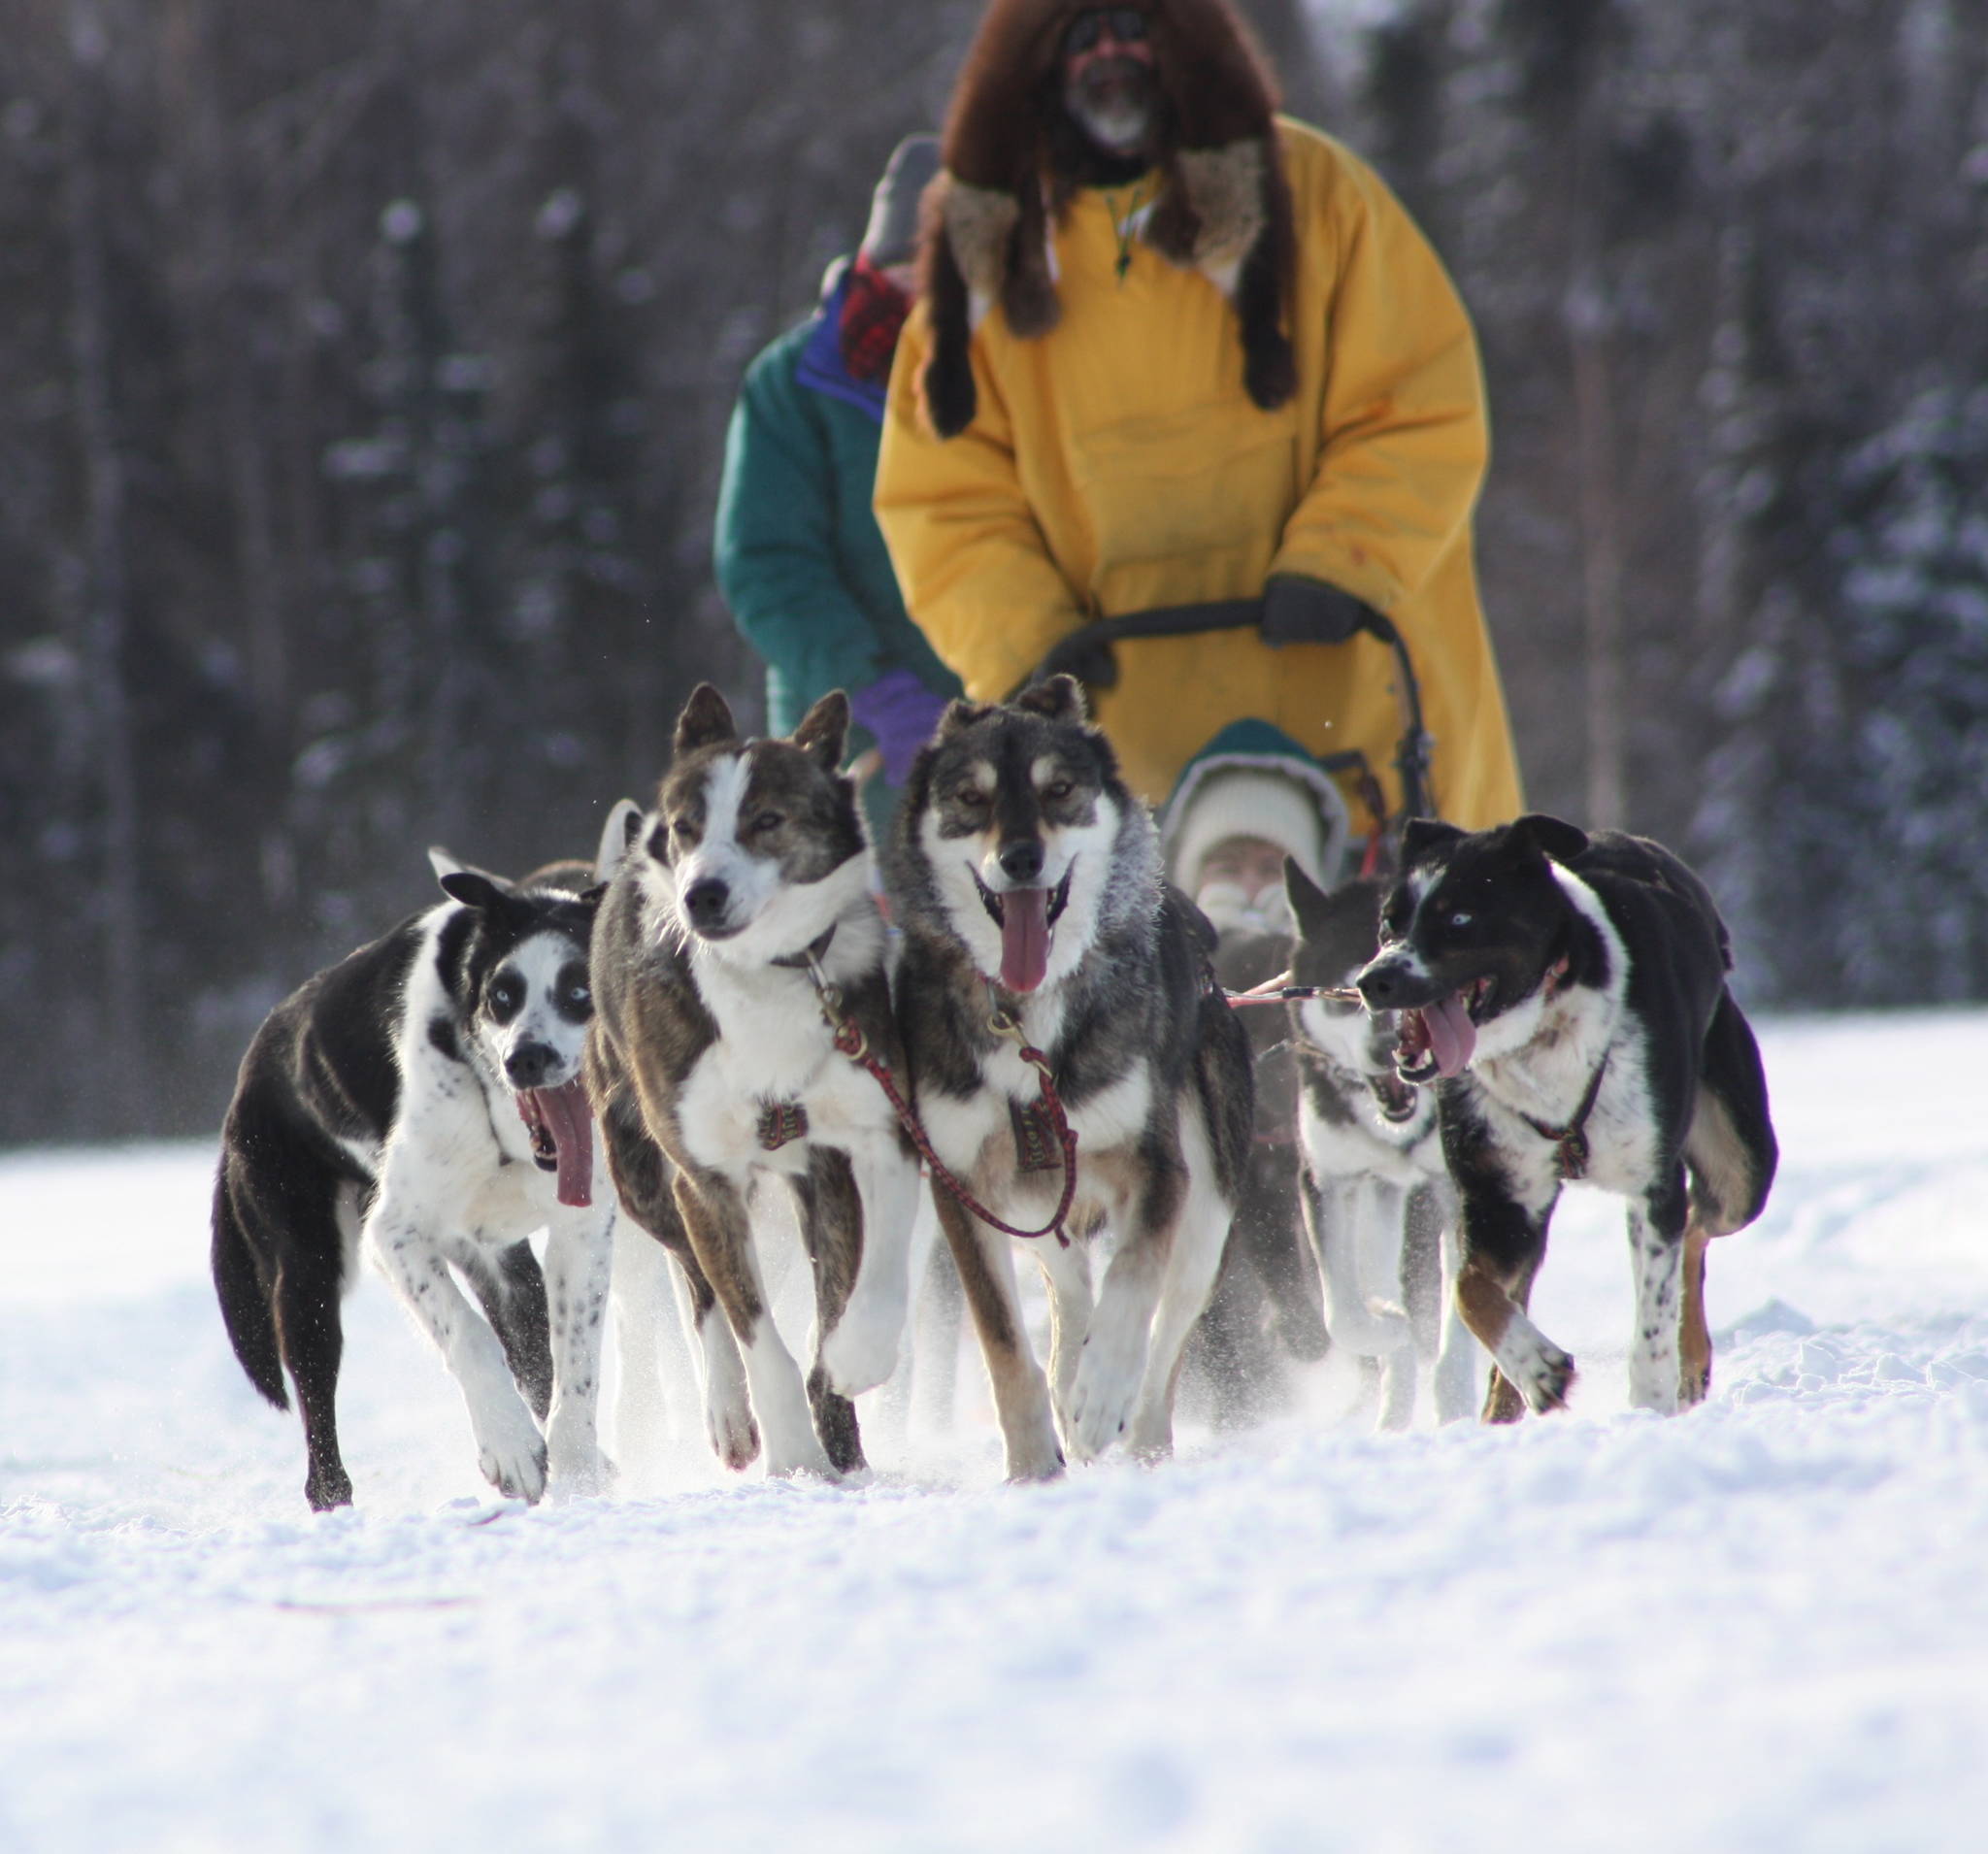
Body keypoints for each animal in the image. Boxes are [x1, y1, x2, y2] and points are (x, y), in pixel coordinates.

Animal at [215, 818, 628, 1509]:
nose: (526, 1058)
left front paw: (575, 1474)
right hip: (307, 1276)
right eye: (502, 996)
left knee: (533, 1356)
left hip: (502, 1268)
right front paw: (510, 1448)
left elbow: (575, 1371)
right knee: (319, 1416)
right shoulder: (396, 1235)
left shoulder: (581, 1234)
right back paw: (334, 1500)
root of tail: (247, 1081)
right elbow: (467, 1334)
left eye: (579, 991)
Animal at [584, 679, 926, 1478]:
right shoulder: (705, 1177)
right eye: (686, 827)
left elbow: (865, 1281)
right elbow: (754, 1333)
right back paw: (730, 1413)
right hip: (644, 1175)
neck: (768, 973)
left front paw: (852, 1367)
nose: (701, 895)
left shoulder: (868, 1135)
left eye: (767, 821)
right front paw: (796, 1453)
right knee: (697, 1285)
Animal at [1359, 811, 1781, 1414]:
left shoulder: (1652, 1185)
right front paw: (1535, 1367)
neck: (1542, 1032)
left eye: (1460, 918)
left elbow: (1653, 1321)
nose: (1373, 980)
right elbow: (1469, 1289)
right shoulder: (1500, 1200)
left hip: (1739, 1172)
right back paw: (1506, 1403)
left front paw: (1649, 1406)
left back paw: (1690, 1361)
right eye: (1388, 922)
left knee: (1696, 1229)